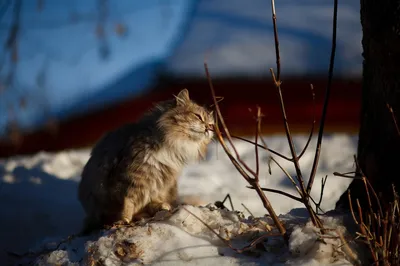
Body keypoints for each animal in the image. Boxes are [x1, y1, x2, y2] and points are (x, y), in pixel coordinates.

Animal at [78, 89, 216, 233]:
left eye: (212, 124)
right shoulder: (130, 178)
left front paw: (157, 206)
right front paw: (124, 220)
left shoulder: (160, 179)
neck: (172, 146)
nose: (210, 128)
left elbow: (151, 197)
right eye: (198, 116)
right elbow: (127, 204)